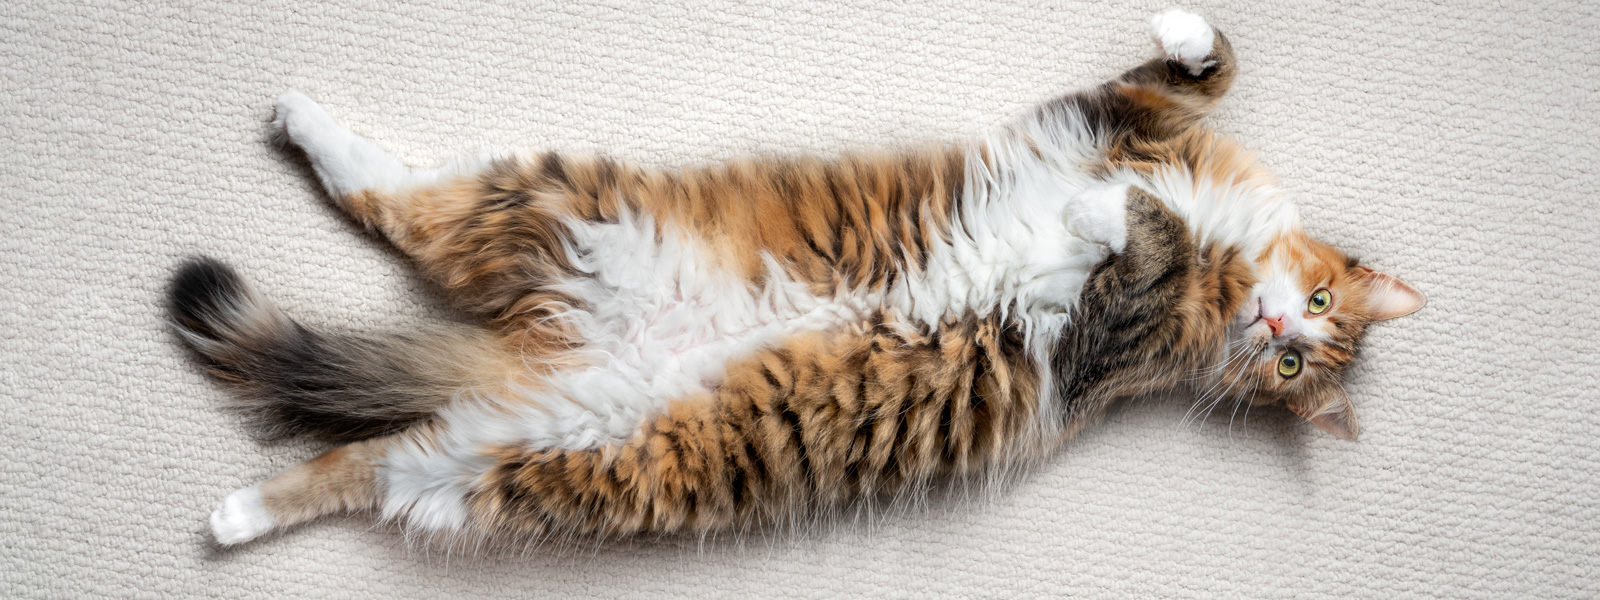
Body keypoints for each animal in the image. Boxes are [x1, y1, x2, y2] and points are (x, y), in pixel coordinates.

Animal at [172, 10, 1427, 550]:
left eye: (1294, 361)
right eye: (1309, 324)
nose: (1278, 321)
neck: (1225, 260)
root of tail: (549, 354)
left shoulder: (1101, 343)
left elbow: (1133, 234)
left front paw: (1102, 221)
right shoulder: (1120, 123)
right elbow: (1199, 68)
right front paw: (1174, 46)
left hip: (542, 453)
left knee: (364, 466)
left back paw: (230, 518)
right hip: (558, 211)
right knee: (384, 191)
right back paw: (300, 115)